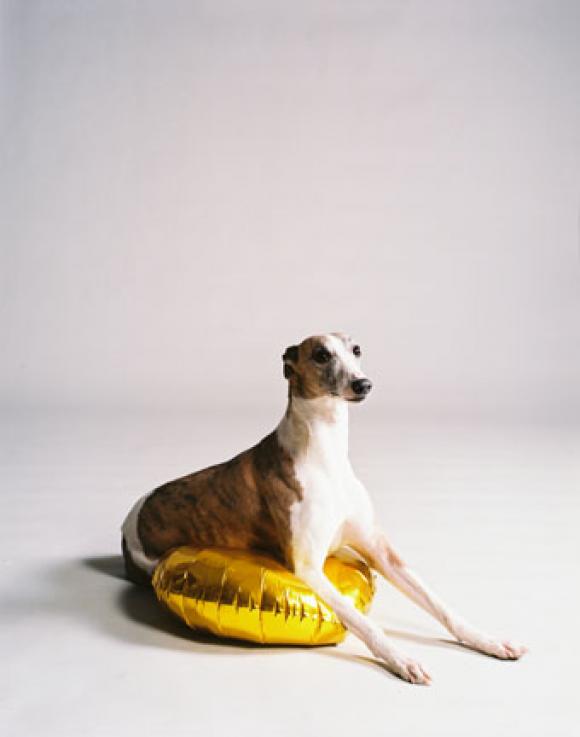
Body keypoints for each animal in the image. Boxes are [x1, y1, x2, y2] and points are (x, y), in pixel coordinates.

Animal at [121, 330, 524, 680]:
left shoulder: (382, 552)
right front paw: (402, 659)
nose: (363, 384)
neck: (324, 453)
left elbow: (440, 604)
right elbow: (365, 622)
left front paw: (487, 640)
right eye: (320, 355)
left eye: (356, 350)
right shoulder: (307, 568)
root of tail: (129, 521)